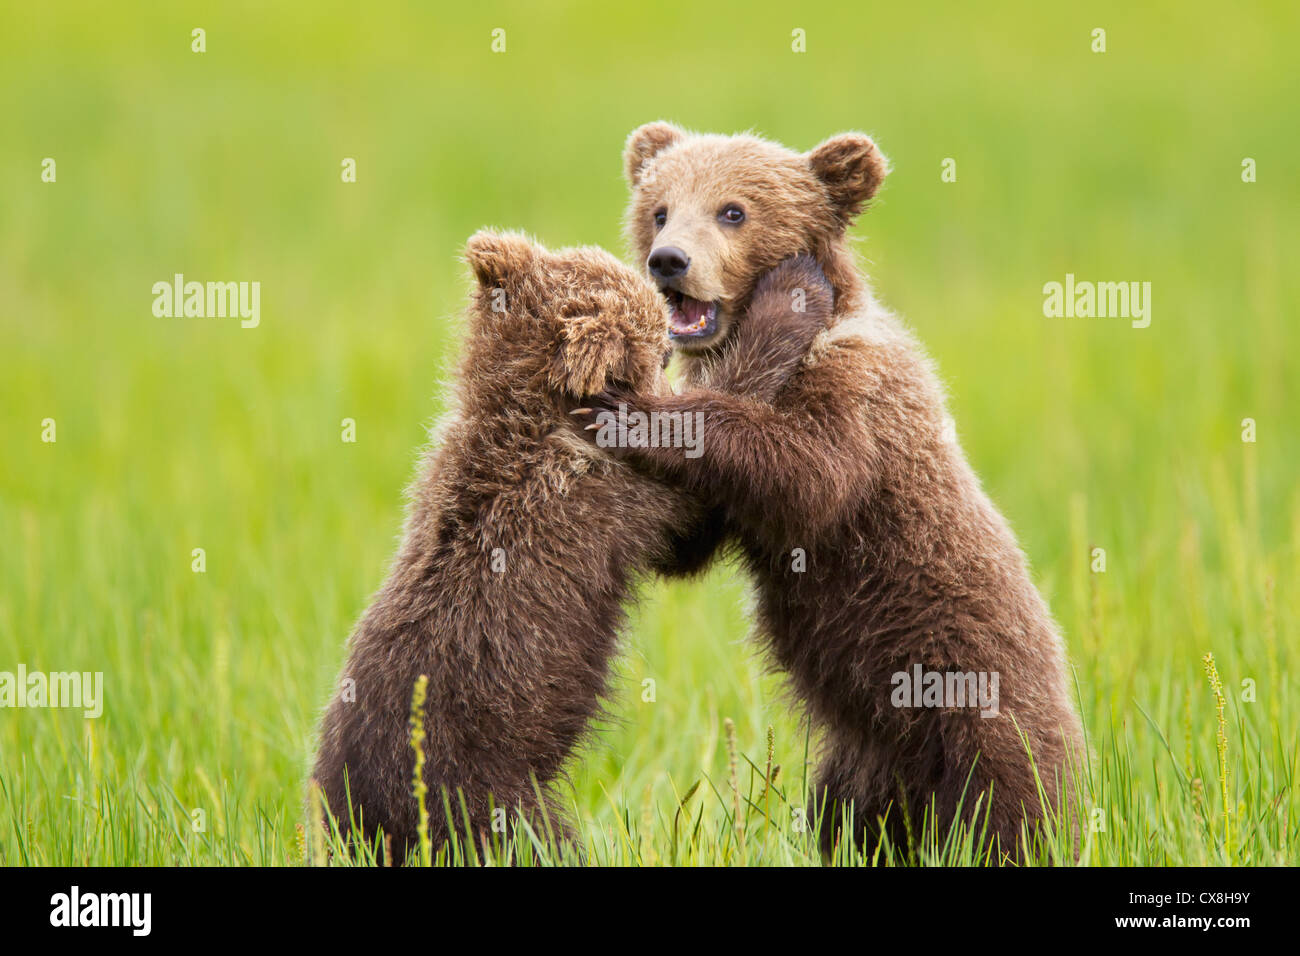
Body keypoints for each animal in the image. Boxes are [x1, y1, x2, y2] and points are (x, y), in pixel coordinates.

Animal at [312, 230, 723, 862]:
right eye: (656, 350)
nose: (674, 343)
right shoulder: (609, 501)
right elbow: (686, 534)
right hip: (481, 787)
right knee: (534, 839)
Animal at [572, 123, 1086, 861]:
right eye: (660, 209)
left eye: (733, 210)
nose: (668, 260)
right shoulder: (732, 505)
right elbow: (687, 543)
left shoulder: (859, 391)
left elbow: (811, 473)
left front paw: (630, 408)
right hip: (862, 755)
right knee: (846, 814)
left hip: (975, 692)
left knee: (1010, 803)